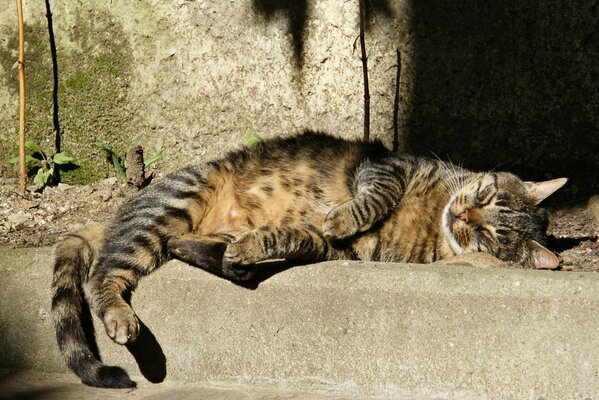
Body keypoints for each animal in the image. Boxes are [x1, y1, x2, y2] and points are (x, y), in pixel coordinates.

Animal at [51, 130, 566, 388]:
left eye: (488, 235)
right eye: (485, 194)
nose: (461, 213)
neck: (431, 220)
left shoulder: (338, 248)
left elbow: (291, 237)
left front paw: (265, 243)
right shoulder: (387, 167)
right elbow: (376, 195)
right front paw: (344, 215)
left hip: (186, 227)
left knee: (181, 251)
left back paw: (235, 259)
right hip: (174, 204)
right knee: (103, 274)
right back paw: (122, 316)